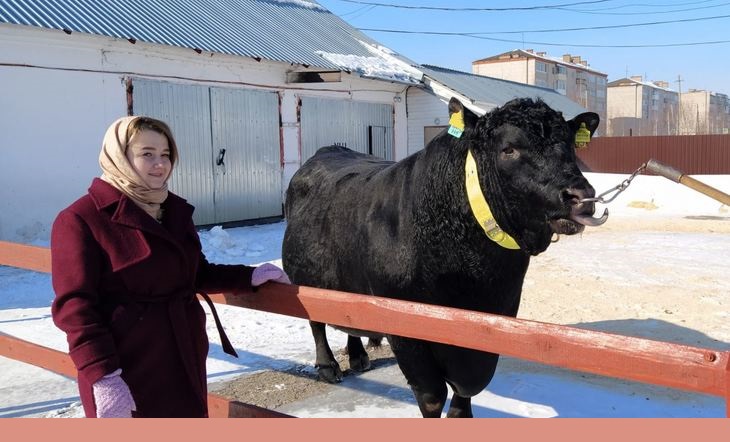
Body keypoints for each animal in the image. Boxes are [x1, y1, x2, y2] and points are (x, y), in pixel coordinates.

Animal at [282, 97, 600, 418]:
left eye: (570, 145)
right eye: (509, 148)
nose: (581, 196)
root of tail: (328, 150)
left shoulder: (500, 312)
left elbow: (470, 385)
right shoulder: (404, 326)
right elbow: (432, 395)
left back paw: (359, 355)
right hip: (303, 280)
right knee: (316, 323)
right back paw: (328, 367)